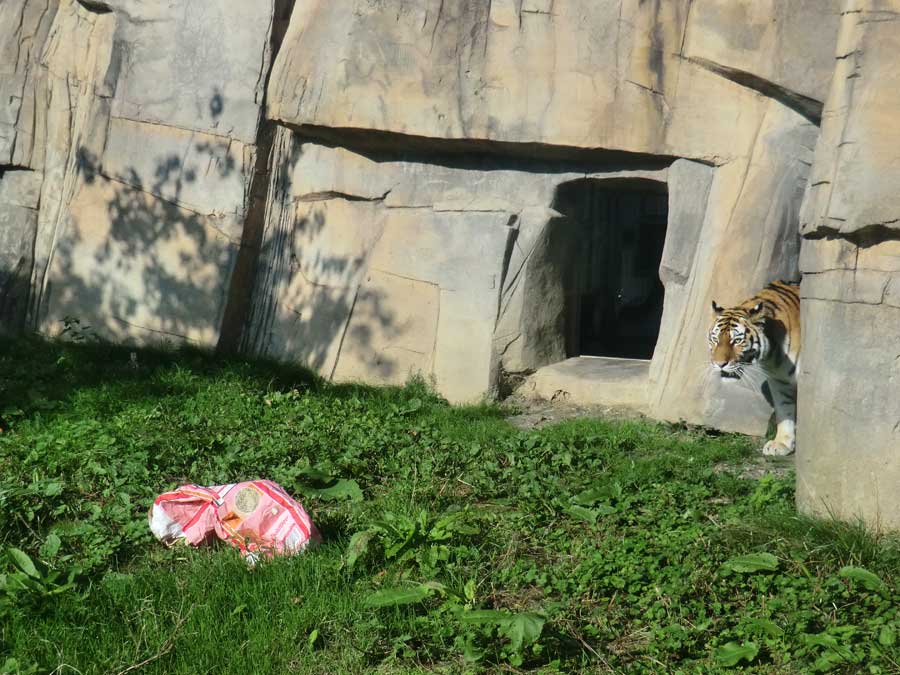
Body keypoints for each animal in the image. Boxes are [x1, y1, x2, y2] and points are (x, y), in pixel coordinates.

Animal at [712, 278, 800, 456]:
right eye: (715, 340)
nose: (719, 364)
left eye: (736, 341)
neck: (774, 354)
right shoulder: (779, 380)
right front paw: (782, 443)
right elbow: (784, 410)